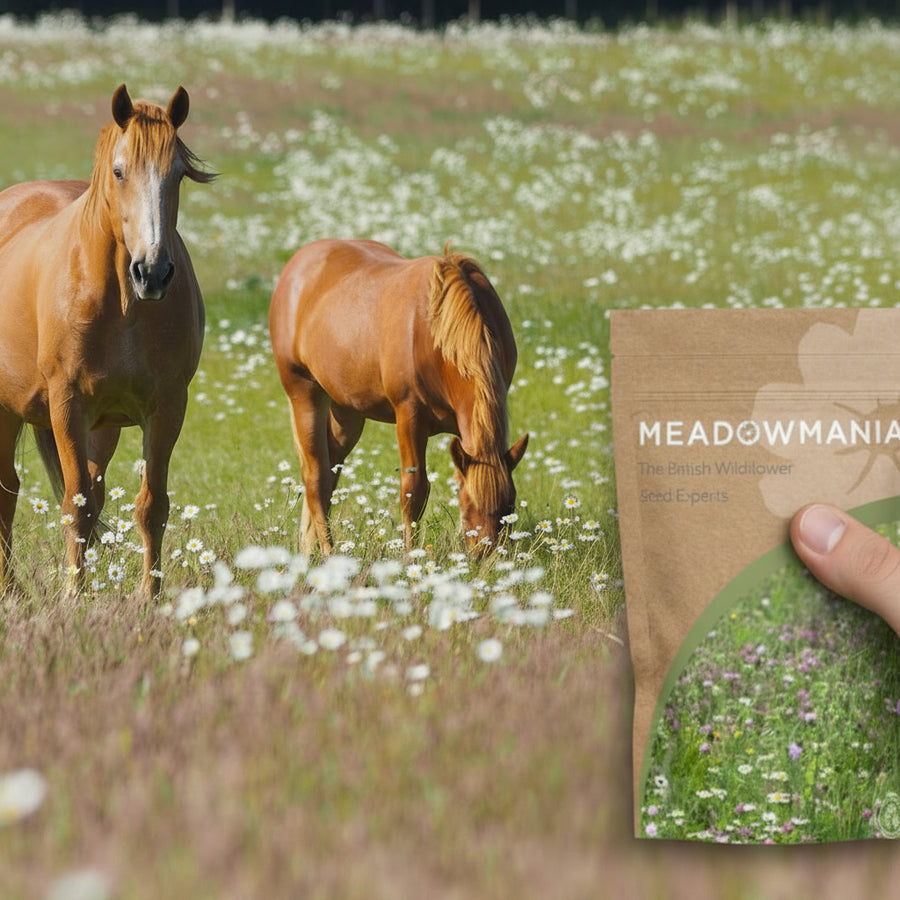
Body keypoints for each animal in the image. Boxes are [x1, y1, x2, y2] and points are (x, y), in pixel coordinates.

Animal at [0, 84, 214, 599]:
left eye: (178, 175)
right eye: (119, 172)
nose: (153, 272)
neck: (122, 303)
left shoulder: (165, 407)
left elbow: (150, 505)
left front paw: (149, 597)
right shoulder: (67, 404)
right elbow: (75, 506)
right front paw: (74, 597)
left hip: (103, 426)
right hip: (8, 411)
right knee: (8, 491)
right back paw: (11, 589)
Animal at [269, 239, 529, 557]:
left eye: (510, 505)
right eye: (468, 505)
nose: (487, 559)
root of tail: (299, 263)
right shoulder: (409, 416)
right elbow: (414, 490)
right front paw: (409, 556)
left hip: (347, 413)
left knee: (330, 472)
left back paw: (308, 551)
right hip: (304, 393)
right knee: (315, 476)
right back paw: (327, 552)